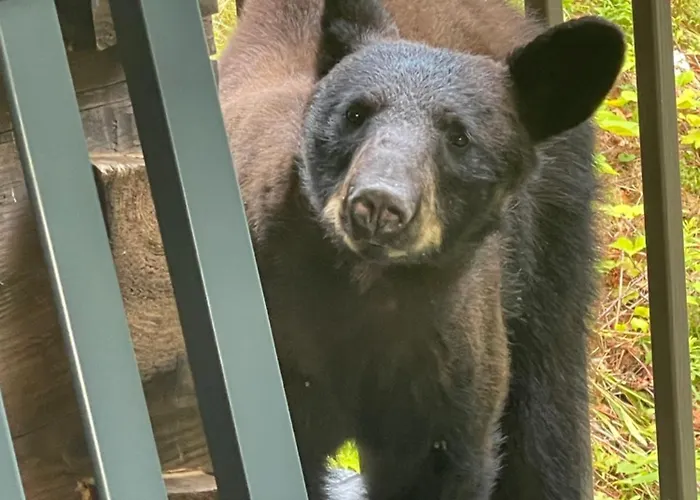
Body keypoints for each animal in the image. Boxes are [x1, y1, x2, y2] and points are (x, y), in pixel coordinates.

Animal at [218, 0, 625, 498]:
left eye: (459, 137)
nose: (378, 203)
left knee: (549, 410)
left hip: (552, 241)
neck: (369, 290)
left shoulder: (451, 358)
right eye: (355, 113)